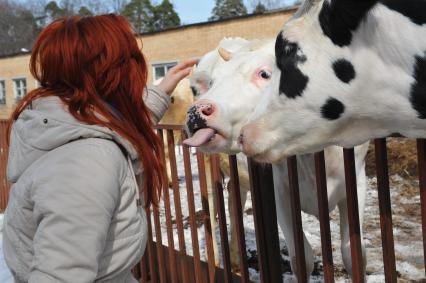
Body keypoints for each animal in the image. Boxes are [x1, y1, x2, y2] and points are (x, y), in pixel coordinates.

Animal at [185, 38, 372, 280]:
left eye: (265, 74)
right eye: (213, 81)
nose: (196, 112)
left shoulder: (356, 182)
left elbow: (354, 254)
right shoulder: (280, 193)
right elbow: (301, 259)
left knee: (235, 205)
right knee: (210, 210)